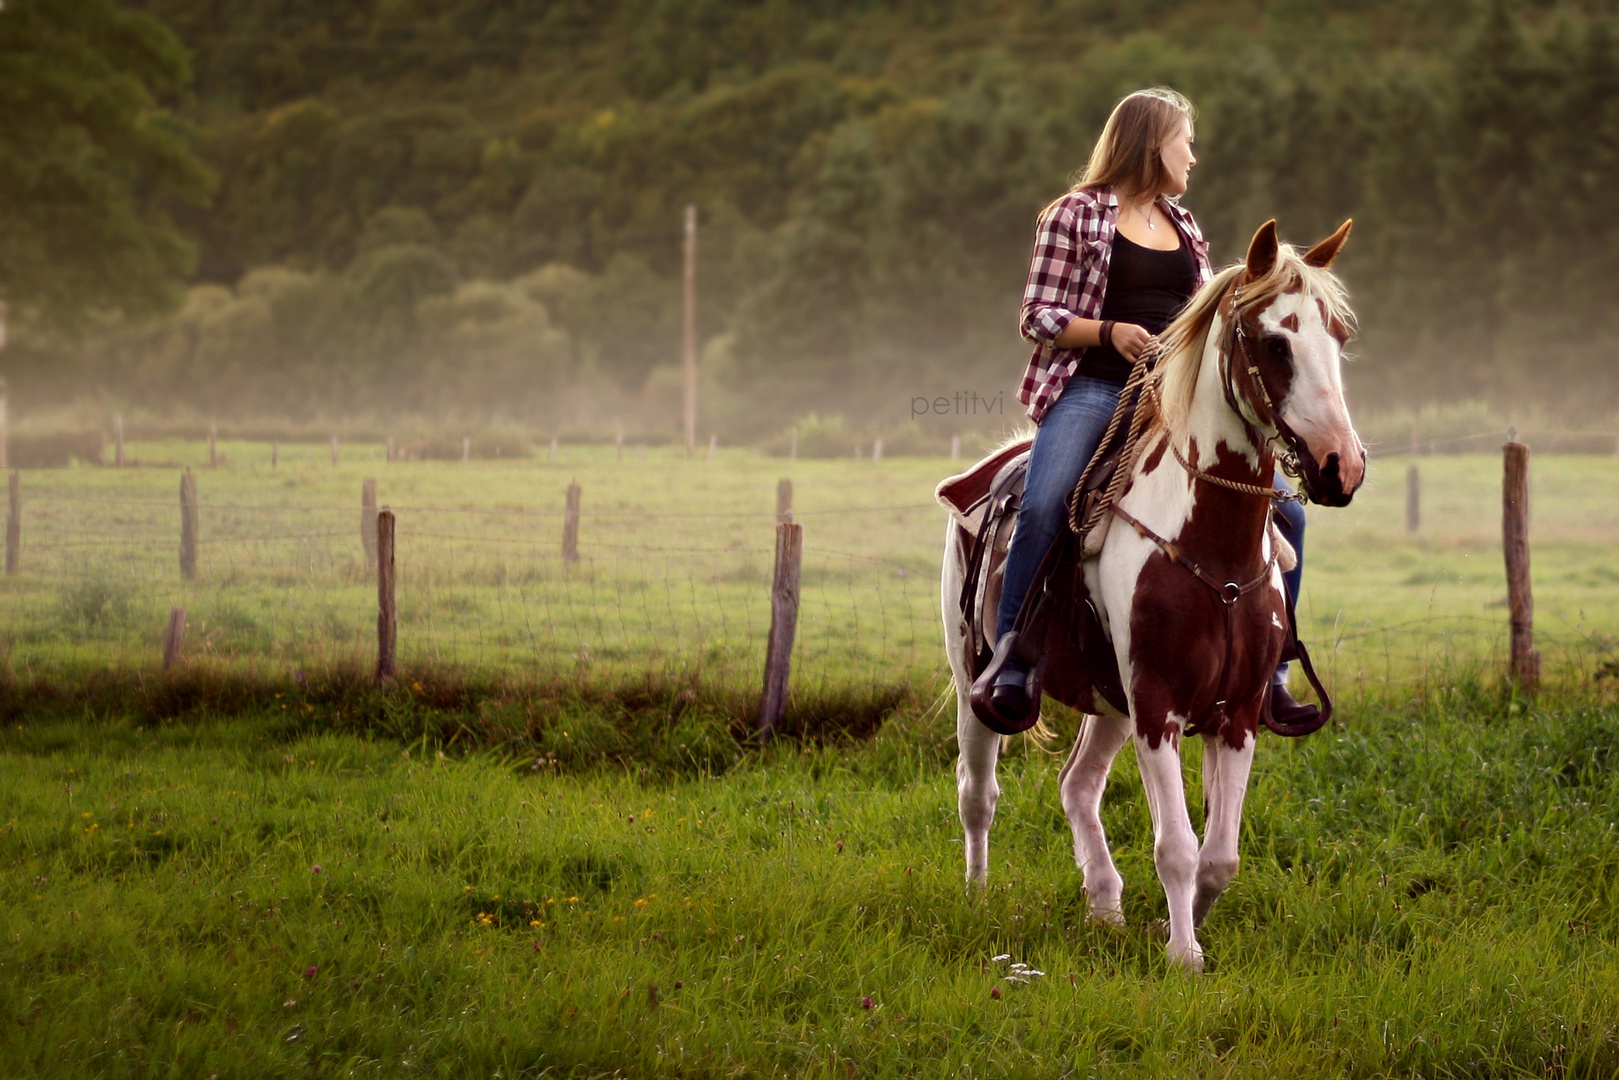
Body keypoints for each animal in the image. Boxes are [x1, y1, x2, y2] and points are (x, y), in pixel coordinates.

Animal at [939, 220, 1366, 971]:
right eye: (1273, 342)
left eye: (1336, 336)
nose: (1340, 466)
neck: (1209, 546)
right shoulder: (1158, 704)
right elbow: (1178, 847)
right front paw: (1183, 955)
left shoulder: (1235, 712)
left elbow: (1219, 856)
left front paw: (1182, 925)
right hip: (975, 682)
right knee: (977, 794)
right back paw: (980, 896)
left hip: (1110, 702)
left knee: (1077, 786)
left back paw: (1105, 906)